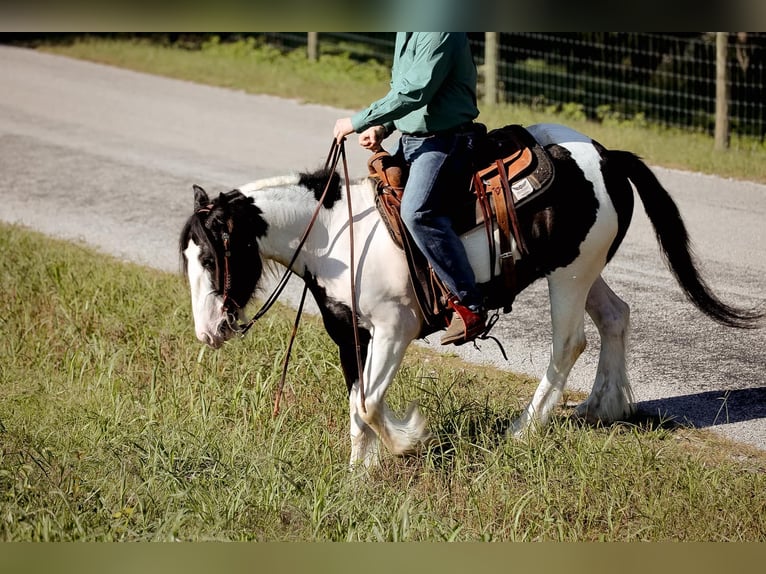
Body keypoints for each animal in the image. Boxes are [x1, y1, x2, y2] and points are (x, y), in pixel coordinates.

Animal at [178, 124, 760, 470]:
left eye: (209, 257)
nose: (208, 332)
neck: (334, 234)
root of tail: (607, 157)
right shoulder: (351, 336)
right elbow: (357, 404)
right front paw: (360, 473)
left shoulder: (395, 329)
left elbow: (370, 403)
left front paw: (406, 440)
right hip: (584, 268)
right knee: (616, 316)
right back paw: (603, 407)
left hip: (570, 275)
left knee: (568, 344)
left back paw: (524, 429)